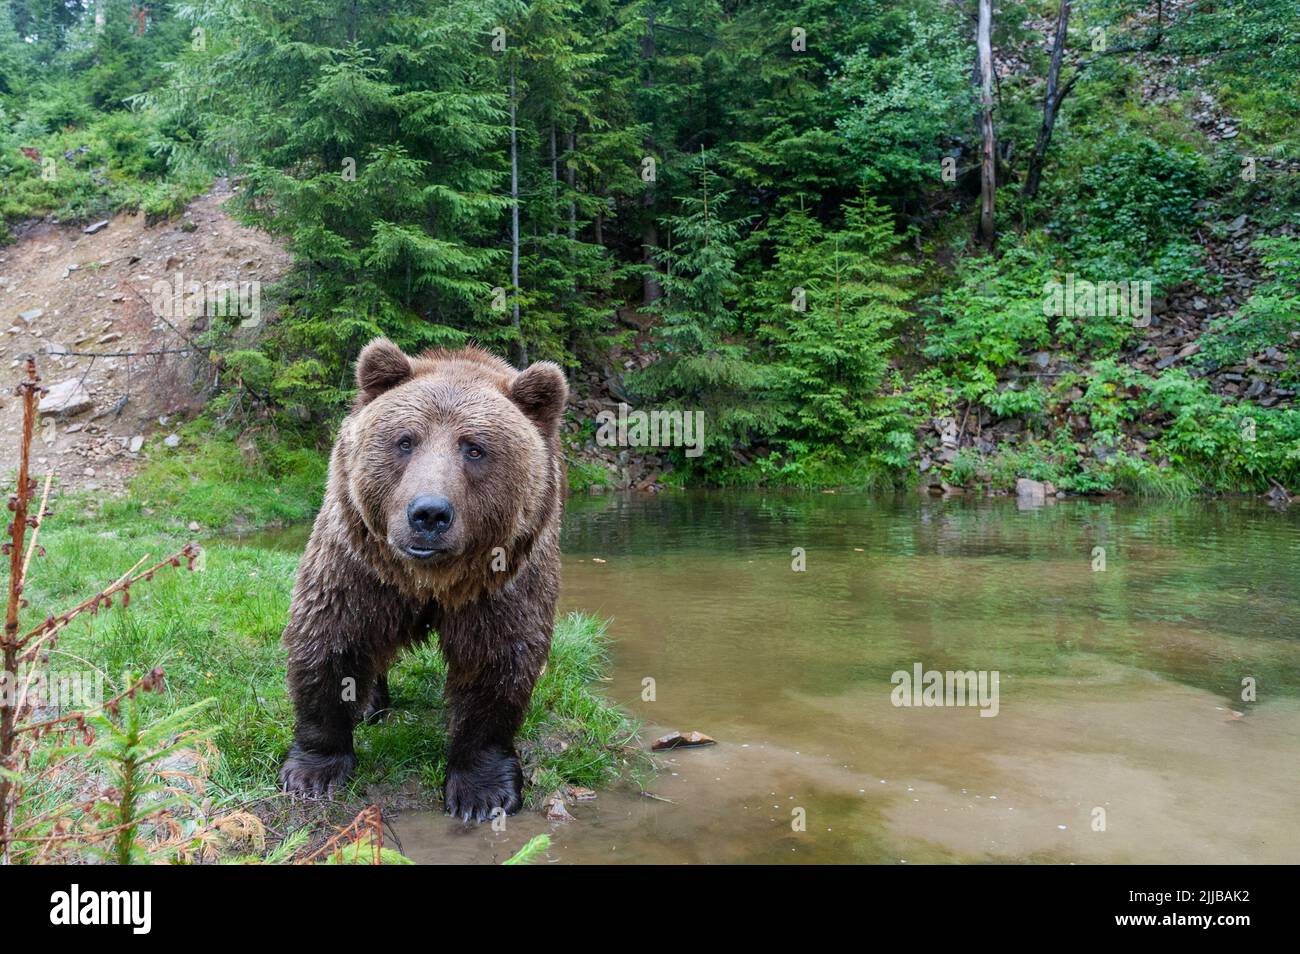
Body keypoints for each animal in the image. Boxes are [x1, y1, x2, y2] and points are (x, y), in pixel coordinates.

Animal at [278, 338, 568, 821]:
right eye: (405, 440)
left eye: (474, 447)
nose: (429, 513)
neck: (429, 579)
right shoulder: (359, 566)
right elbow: (331, 636)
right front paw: (312, 771)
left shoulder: (502, 581)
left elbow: (496, 662)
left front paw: (483, 793)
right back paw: (370, 704)